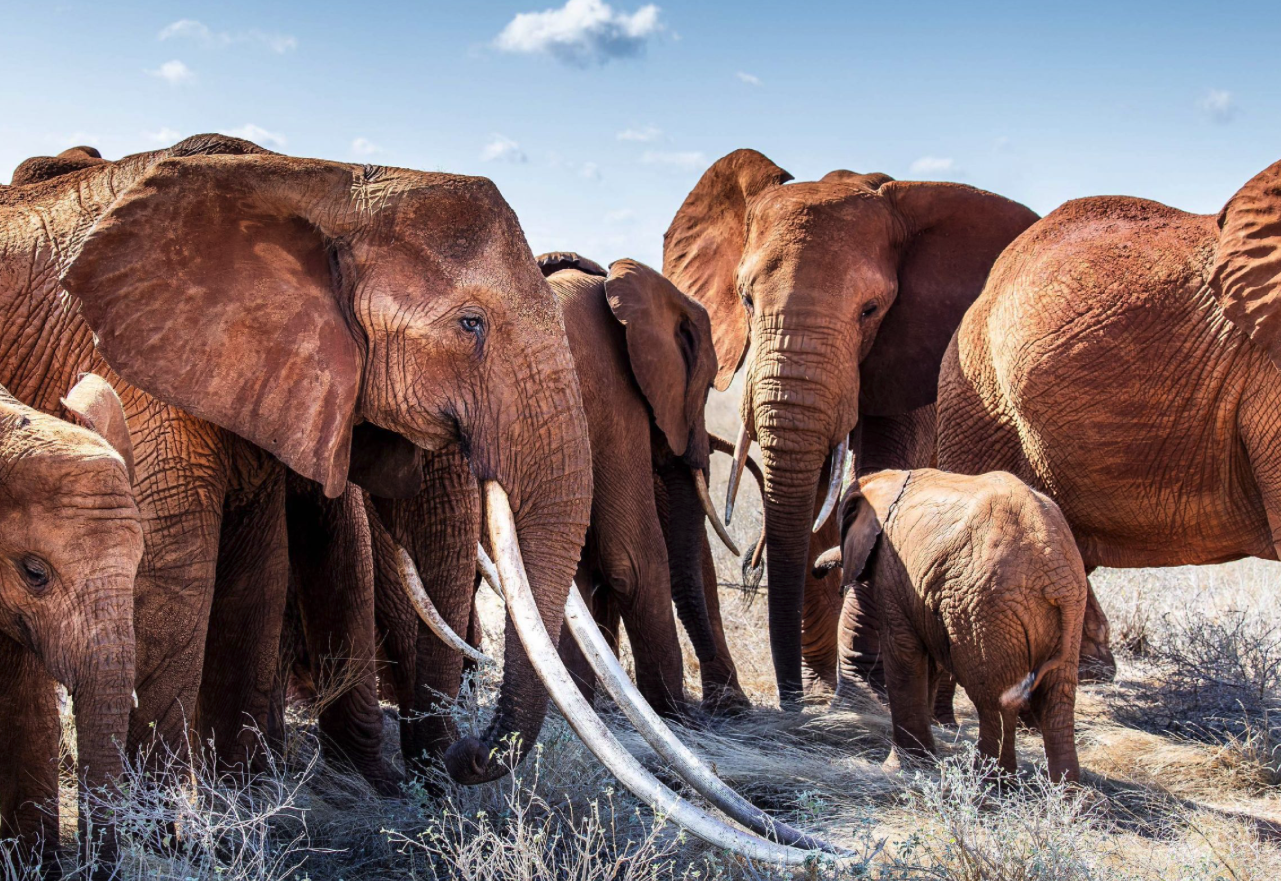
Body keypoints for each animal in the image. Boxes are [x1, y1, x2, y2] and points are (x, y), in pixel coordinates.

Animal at [1, 134, 594, 788]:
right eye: (471, 324)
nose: (467, 754)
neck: (327, 183)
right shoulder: (134, 372)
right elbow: (176, 575)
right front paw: (163, 813)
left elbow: (256, 573)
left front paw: (242, 793)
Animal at [660, 147, 1040, 706]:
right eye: (746, 299)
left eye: (871, 310)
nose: (789, 699)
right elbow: (814, 493)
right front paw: (820, 690)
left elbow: (880, 480)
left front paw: (862, 688)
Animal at [840, 471, 1091, 783]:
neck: (889, 479)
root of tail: (1053, 574)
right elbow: (930, 663)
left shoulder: (892, 570)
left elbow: (903, 652)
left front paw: (899, 769)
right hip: (1069, 610)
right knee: (1057, 700)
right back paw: (1065, 791)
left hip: (982, 608)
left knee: (994, 700)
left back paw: (988, 781)